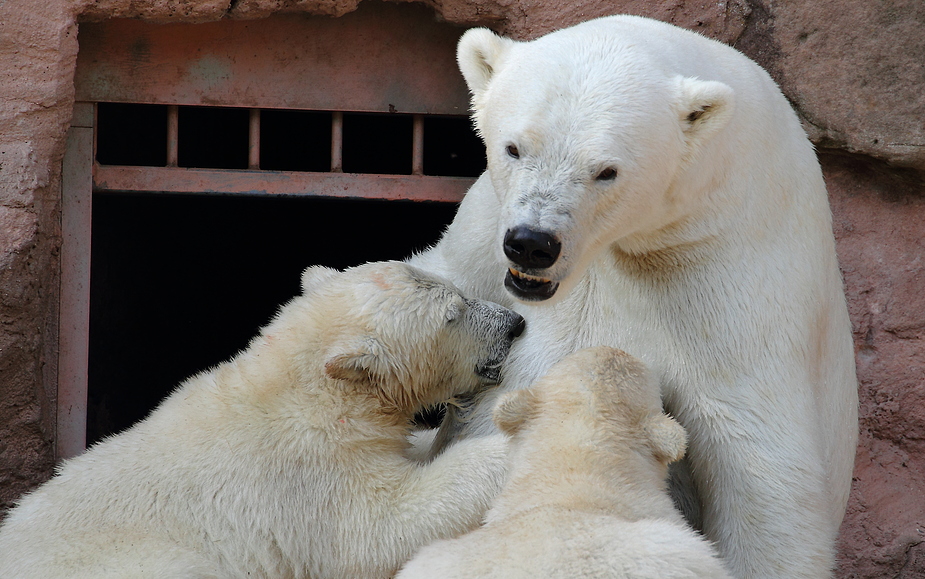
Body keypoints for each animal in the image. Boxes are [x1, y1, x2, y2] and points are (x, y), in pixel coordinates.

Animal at [408, 13, 856, 579]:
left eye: (606, 170)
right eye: (514, 148)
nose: (532, 243)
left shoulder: (732, 276)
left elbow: (760, 460)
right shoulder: (482, 234)